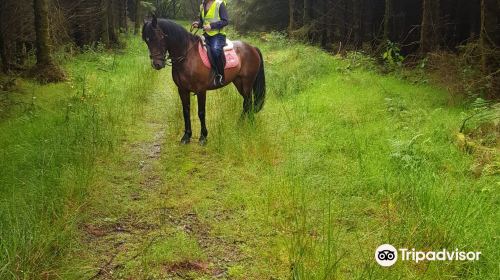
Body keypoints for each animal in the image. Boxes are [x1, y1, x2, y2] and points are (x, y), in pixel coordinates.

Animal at [141, 15, 266, 145]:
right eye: (146, 40)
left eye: (159, 37)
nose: (157, 64)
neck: (187, 56)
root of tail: (252, 48)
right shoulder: (182, 90)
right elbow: (186, 111)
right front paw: (186, 136)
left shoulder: (201, 90)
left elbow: (201, 112)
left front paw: (203, 137)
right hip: (238, 82)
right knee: (248, 103)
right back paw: (244, 124)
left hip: (247, 83)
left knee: (247, 102)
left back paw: (244, 124)